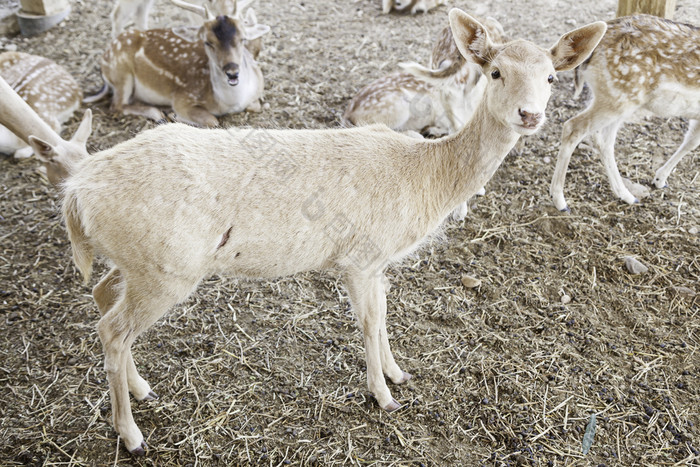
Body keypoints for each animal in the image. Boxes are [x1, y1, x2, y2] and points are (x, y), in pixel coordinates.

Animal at [87, 0, 270, 127]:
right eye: (207, 42)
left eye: (243, 38)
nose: (232, 71)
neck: (230, 103)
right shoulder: (183, 97)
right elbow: (212, 120)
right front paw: (173, 115)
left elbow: (256, 106)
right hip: (121, 74)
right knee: (116, 106)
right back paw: (160, 115)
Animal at [548, 14, 700, 212]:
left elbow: (691, 142)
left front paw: (660, 179)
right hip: (620, 97)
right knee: (574, 127)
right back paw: (560, 200)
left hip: (612, 97)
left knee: (603, 140)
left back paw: (626, 195)